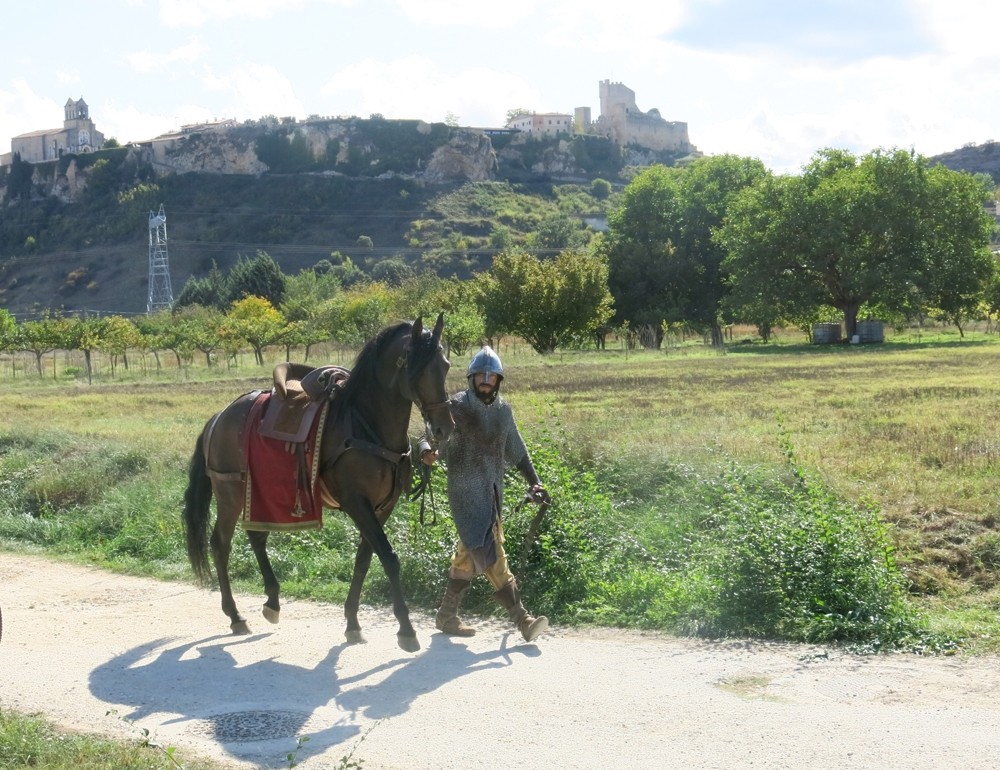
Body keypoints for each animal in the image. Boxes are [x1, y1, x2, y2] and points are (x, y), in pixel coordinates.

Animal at [182, 316, 456, 652]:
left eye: (444, 365)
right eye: (416, 368)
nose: (444, 428)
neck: (366, 423)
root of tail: (220, 416)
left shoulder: (382, 507)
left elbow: (364, 559)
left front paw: (352, 623)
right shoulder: (357, 503)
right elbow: (389, 558)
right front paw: (406, 629)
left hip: (258, 494)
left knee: (257, 537)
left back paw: (272, 601)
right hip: (230, 494)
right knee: (220, 545)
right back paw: (235, 615)